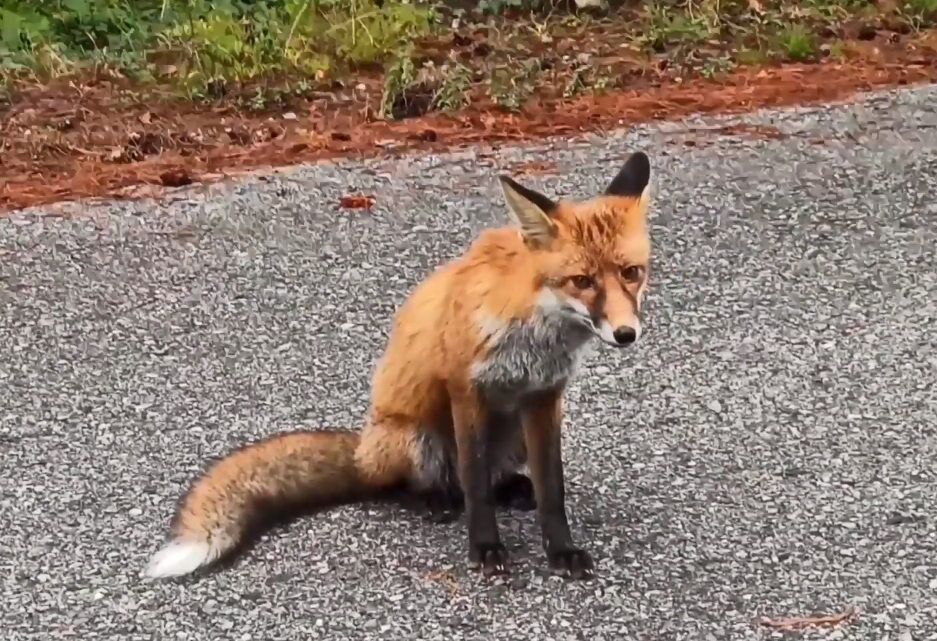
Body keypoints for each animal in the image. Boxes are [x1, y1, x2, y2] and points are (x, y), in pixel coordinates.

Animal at [144, 150, 652, 580]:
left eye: (632, 273)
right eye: (581, 281)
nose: (626, 335)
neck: (536, 327)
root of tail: (362, 449)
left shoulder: (544, 397)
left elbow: (552, 489)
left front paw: (561, 551)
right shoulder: (466, 389)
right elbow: (475, 484)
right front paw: (485, 548)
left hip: (513, 438)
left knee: (491, 476)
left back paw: (509, 488)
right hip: (414, 438)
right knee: (410, 486)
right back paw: (433, 500)